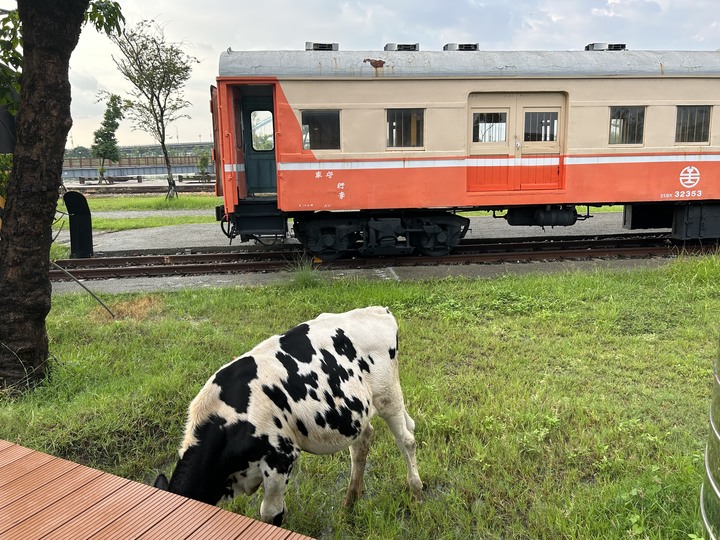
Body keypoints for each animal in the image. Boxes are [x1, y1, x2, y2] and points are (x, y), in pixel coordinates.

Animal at [152, 306, 422, 524]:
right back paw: (350, 501)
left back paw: (416, 490)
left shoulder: (281, 457)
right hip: (356, 411)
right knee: (362, 443)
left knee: (406, 439)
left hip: (388, 397)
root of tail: (378, 311)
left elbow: (271, 513)